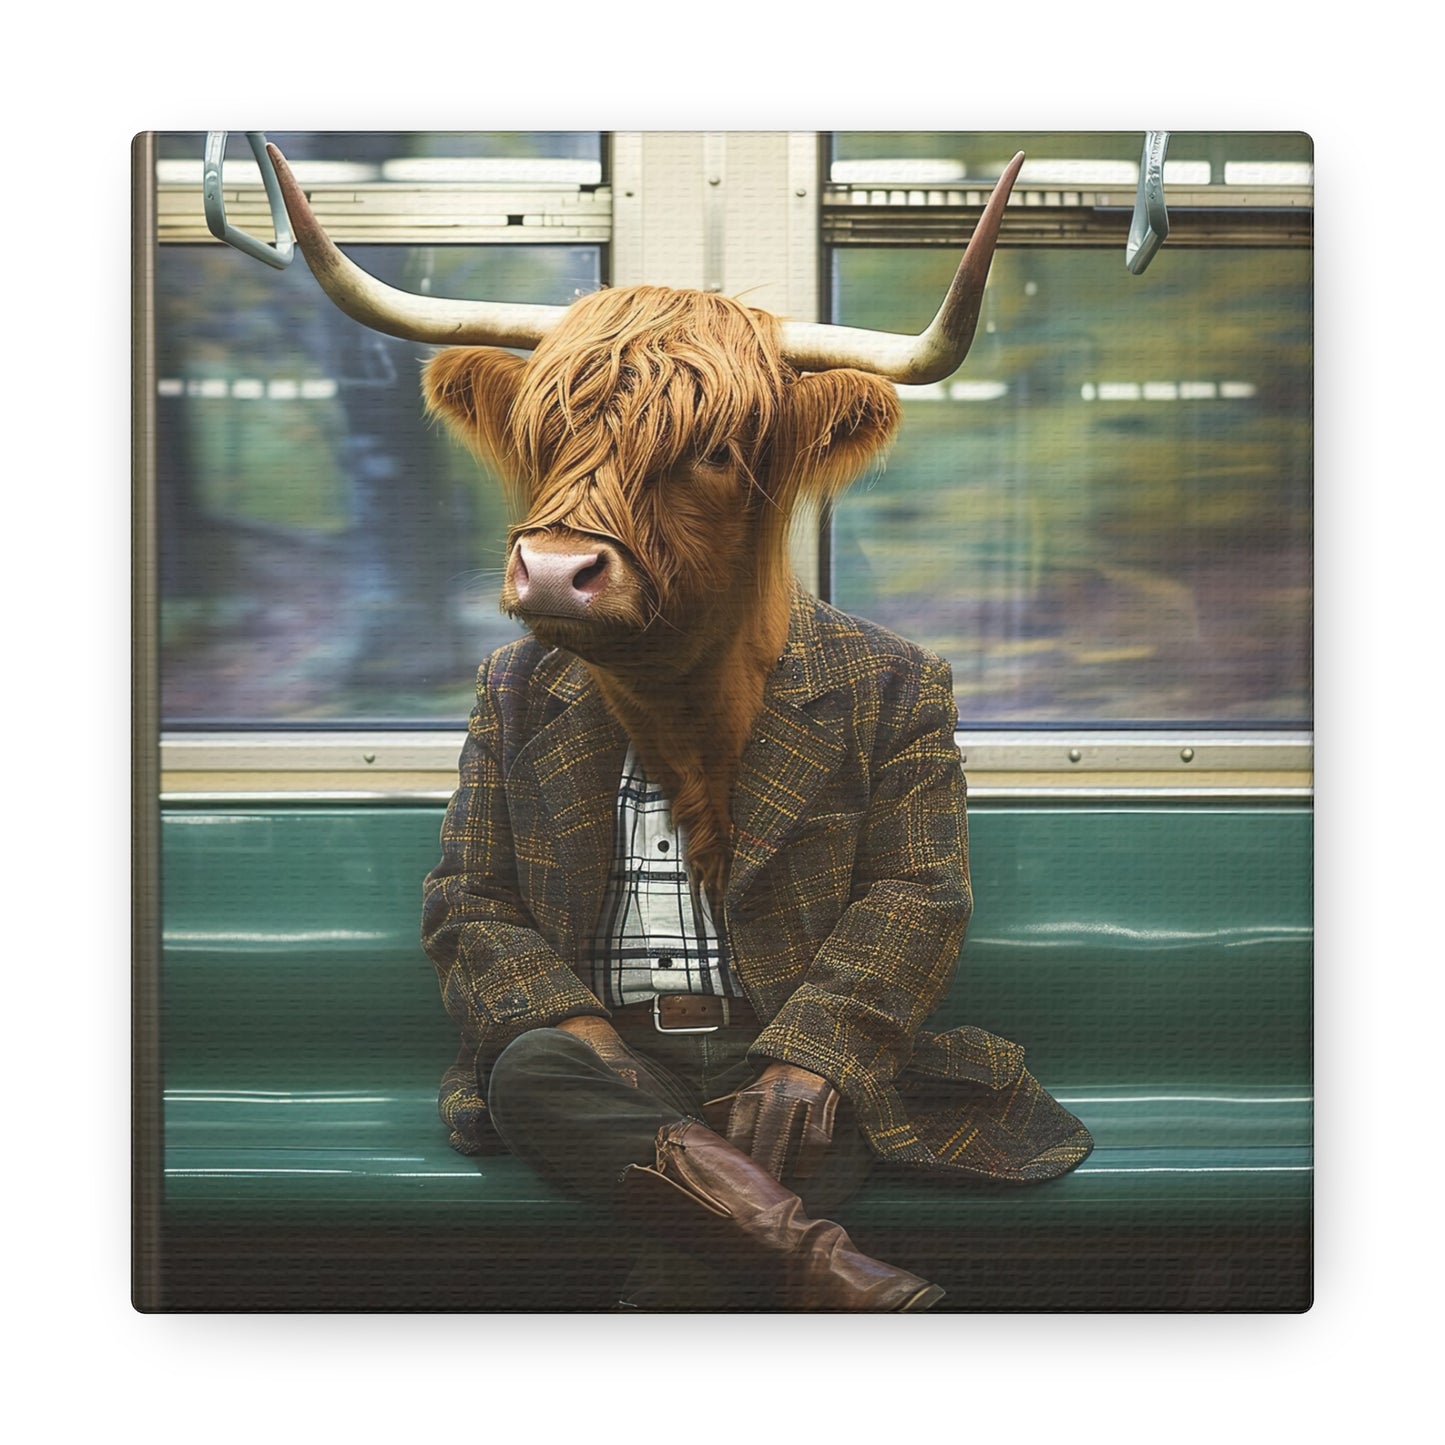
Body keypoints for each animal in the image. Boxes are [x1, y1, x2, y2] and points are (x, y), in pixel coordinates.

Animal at [265, 144, 1091, 1311]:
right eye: (544, 430)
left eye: (711, 450)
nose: (555, 570)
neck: (683, 719)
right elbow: (482, 908)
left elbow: (899, 906)